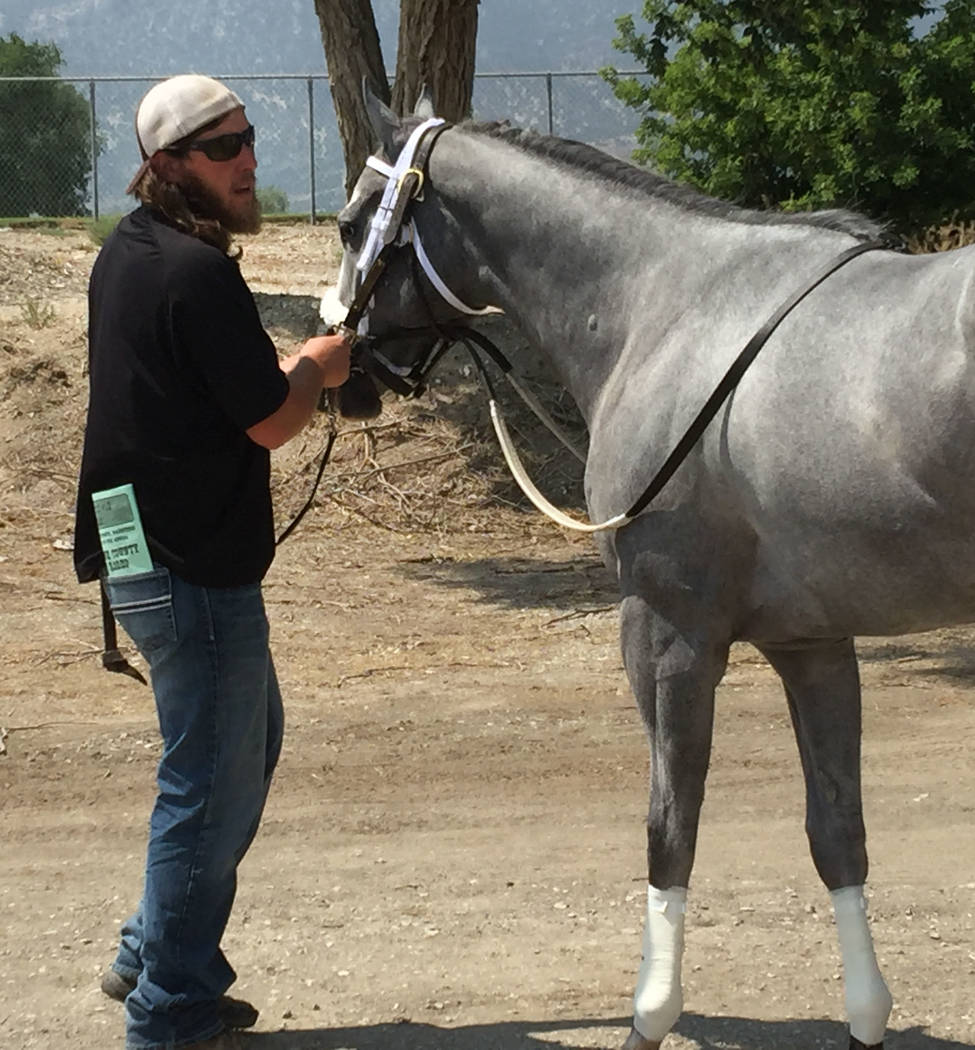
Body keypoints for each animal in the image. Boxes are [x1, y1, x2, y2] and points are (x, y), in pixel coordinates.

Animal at [331, 92, 969, 1050]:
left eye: (348, 224)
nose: (344, 369)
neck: (668, 308)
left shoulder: (666, 638)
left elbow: (670, 829)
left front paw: (648, 1015)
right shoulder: (814, 646)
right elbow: (836, 831)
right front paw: (865, 1015)